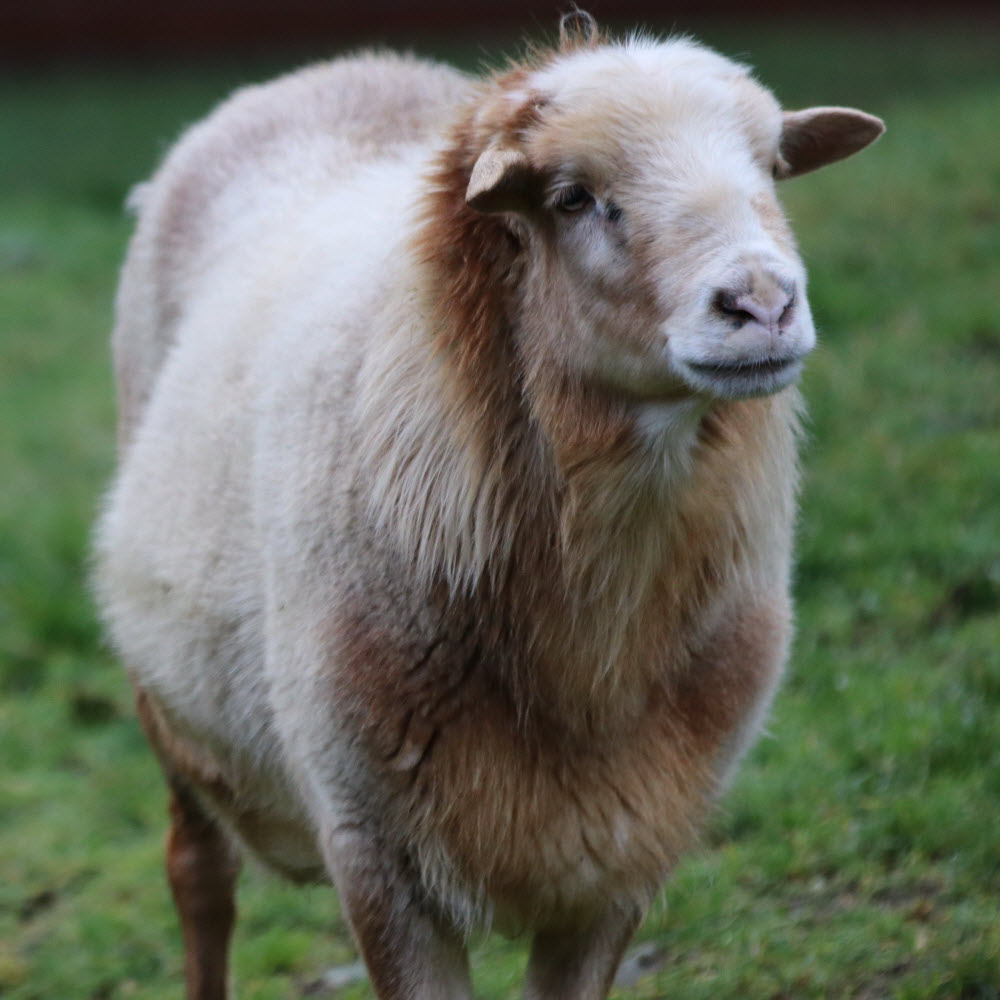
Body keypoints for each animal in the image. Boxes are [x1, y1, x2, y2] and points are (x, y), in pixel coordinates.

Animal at [93, 13, 883, 1000]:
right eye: (573, 198)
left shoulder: (620, 855)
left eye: (771, 168)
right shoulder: (378, 854)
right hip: (168, 702)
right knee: (199, 876)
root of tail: (333, 69)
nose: (763, 303)